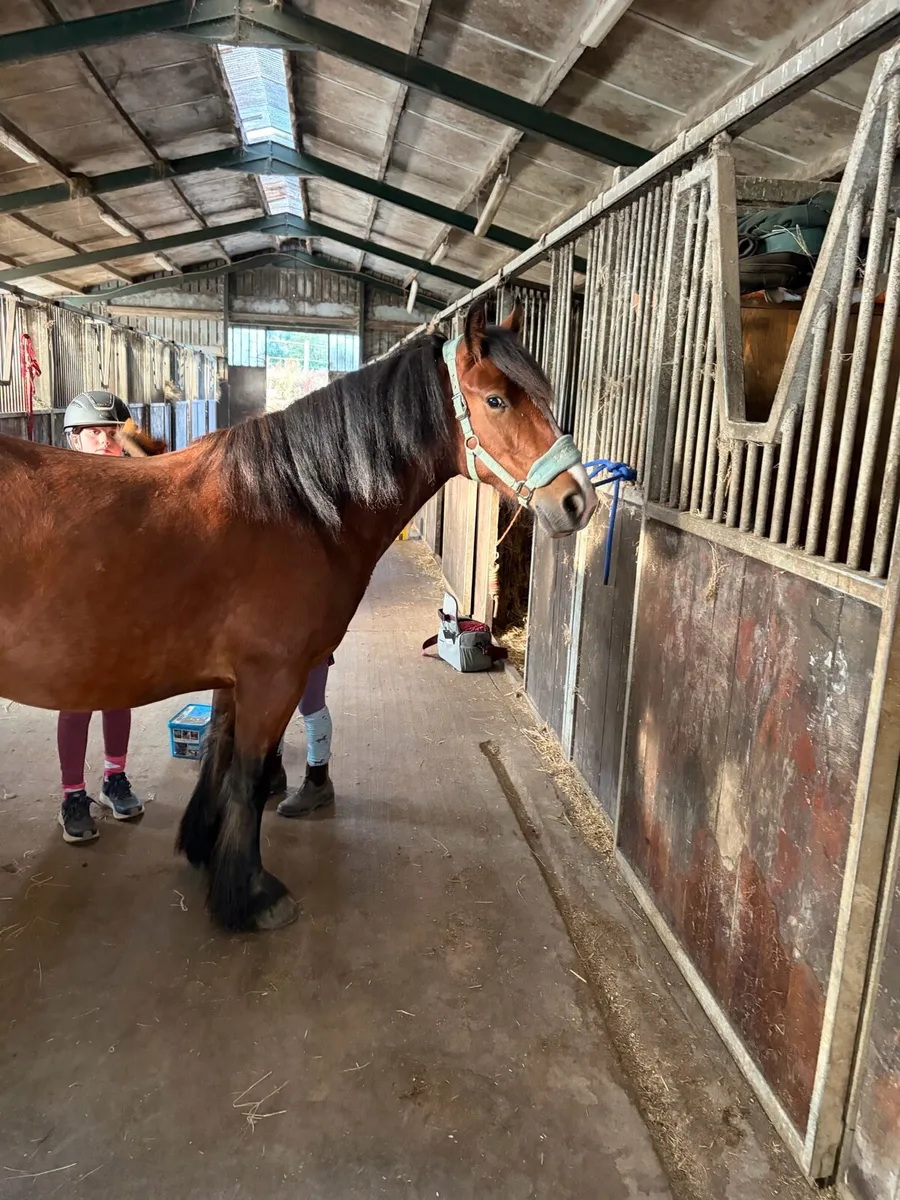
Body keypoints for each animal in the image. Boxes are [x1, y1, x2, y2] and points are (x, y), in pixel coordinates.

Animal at [0, 299, 597, 932]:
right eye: (496, 400)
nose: (578, 500)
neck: (293, 504)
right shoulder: (273, 677)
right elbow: (248, 774)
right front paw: (251, 893)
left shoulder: (234, 680)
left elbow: (219, 751)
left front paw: (203, 846)